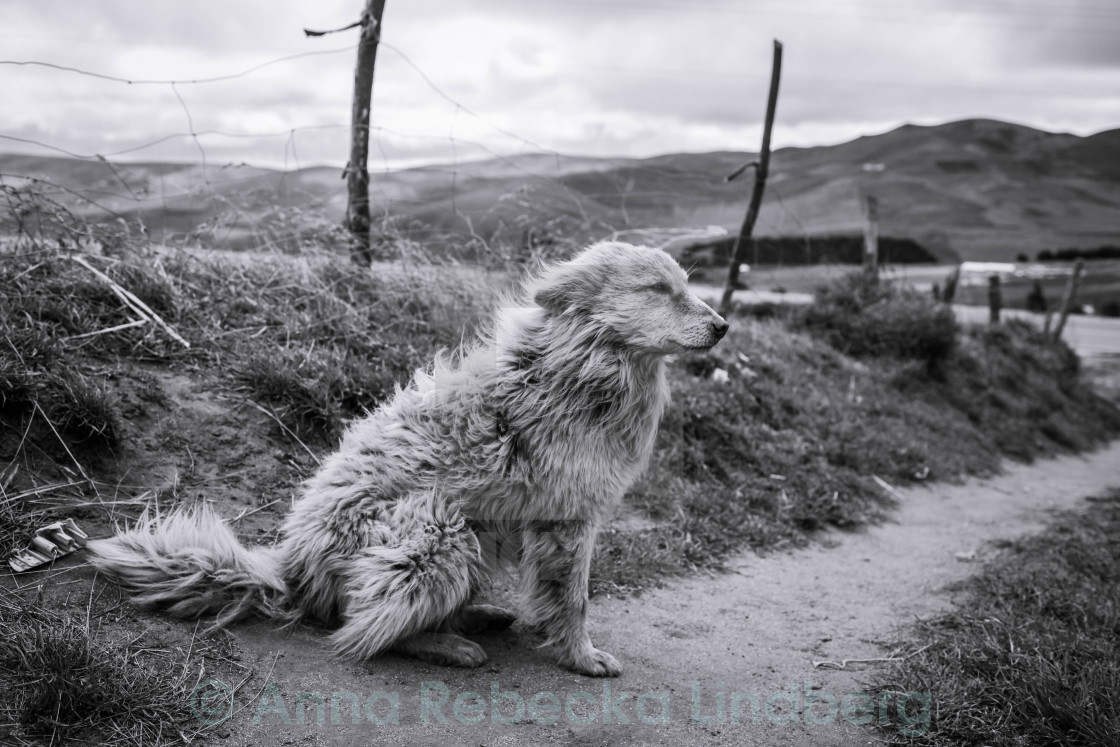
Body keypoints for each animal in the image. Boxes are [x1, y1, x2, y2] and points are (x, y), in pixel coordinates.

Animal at [91, 240, 730, 676]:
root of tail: (291, 571)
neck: (581, 365)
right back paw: (449, 643)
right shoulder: (568, 522)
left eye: (685, 285)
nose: (724, 325)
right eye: (657, 291)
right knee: (364, 628)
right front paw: (580, 657)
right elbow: (573, 600)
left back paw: (474, 617)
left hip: (471, 540)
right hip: (441, 531)